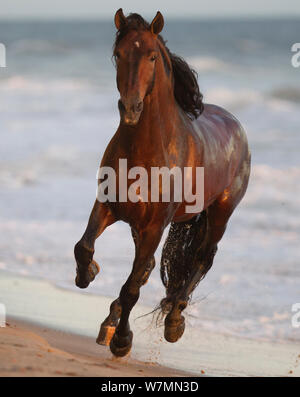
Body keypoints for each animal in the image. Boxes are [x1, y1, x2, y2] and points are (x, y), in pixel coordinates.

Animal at [74, 8, 251, 356]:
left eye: (152, 56)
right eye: (119, 54)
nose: (130, 108)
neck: (147, 149)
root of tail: (236, 124)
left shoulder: (154, 225)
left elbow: (132, 287)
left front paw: (123, 342)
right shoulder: (107, 206)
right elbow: (84, 247)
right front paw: (89, 273)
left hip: (220, 214)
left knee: (201, 260)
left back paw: (174, 321)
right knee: (150, 266)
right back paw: (111, 320)